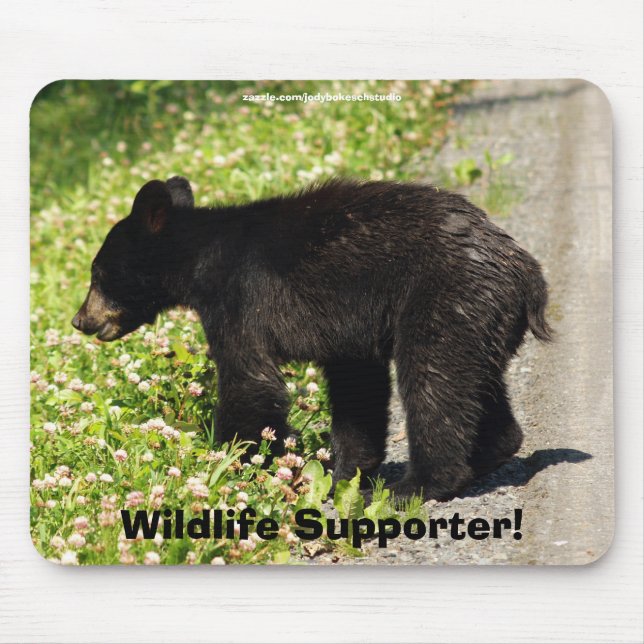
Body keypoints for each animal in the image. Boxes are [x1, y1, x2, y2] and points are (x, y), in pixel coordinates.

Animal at [72, 176, 551, 501]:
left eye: (97, 273)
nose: (80, 320)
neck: (200, 260)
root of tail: (528, 272)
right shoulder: (347, 329)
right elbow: (357, 387)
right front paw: (345, 474)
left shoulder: (239, 299)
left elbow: (250, 381)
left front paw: (231, 464)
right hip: (480, 320)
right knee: (473, 382)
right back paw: (491, 450)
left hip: (443, 300)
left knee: (433, 383)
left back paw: (416, 485)